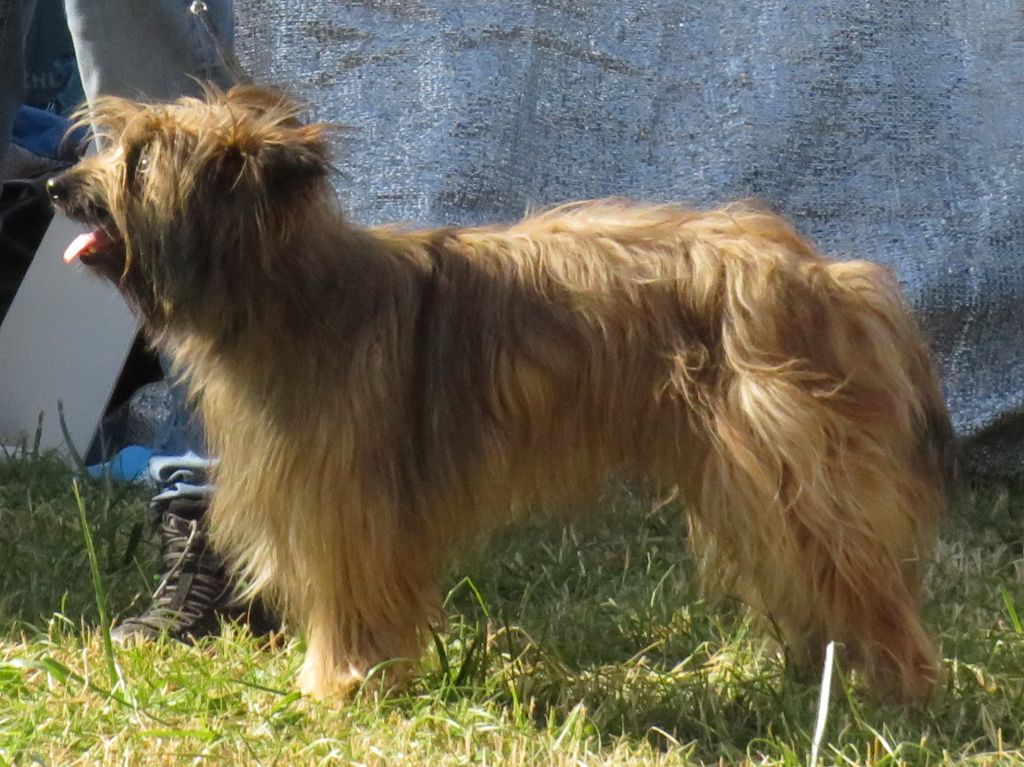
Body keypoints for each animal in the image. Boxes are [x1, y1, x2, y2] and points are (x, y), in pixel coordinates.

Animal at [51, 83, 954, 700]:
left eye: (140, 158)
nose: (55, 187)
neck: (293, 291)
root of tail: (826, 274)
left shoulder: (347, 504)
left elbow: (348, 598)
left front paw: (335, 686)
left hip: (790, 470)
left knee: (864, 577)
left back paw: (902, 687)